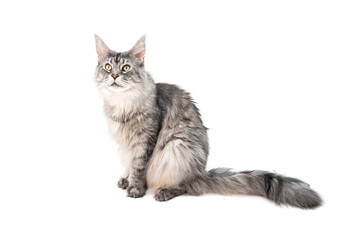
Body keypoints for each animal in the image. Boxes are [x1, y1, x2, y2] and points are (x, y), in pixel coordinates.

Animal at [94, 34, 324, 209]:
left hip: (177, 145)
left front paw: (135, 188)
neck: (122, 105)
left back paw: (164, 191)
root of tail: (200, 174)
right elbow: (129, 163)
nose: (114, 76)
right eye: (107, 67)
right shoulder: (125, 143)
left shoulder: (145, 139)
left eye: (125, 68)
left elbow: (139, 166)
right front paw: (126, 179)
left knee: (186, 186)